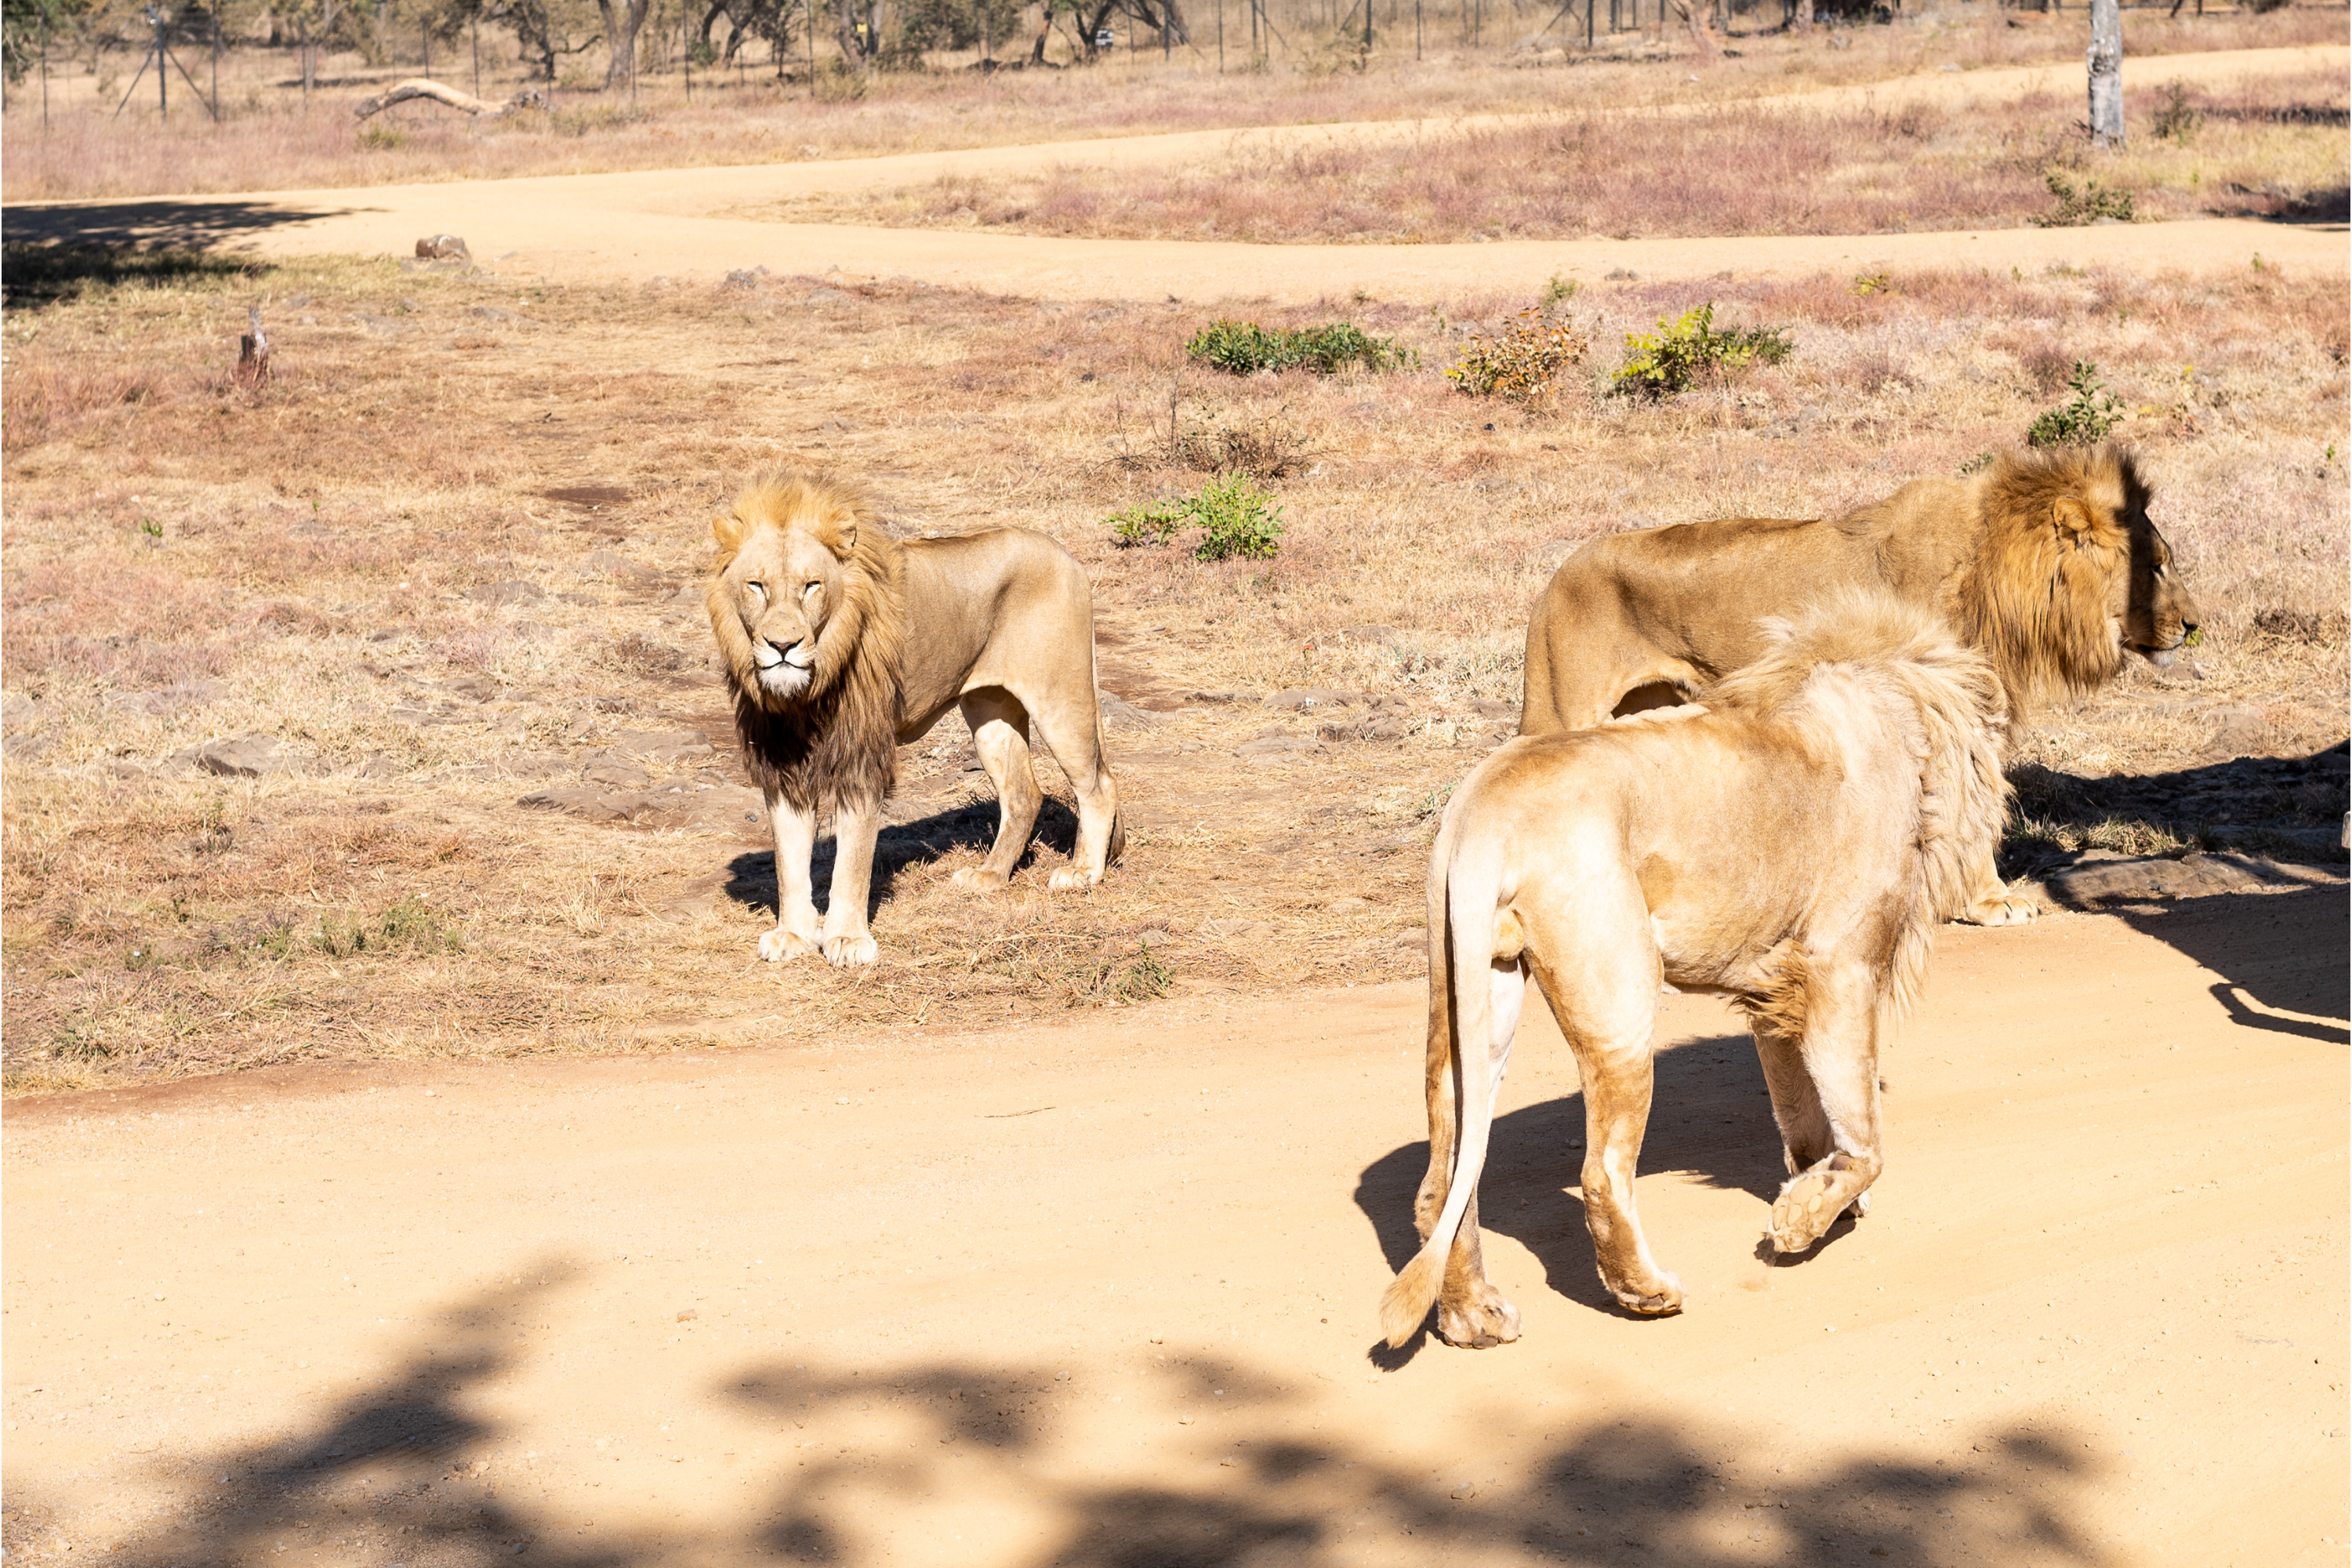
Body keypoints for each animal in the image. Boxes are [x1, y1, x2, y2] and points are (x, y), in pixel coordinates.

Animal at [705, 473, 1123, 968]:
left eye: (811, 586)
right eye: (756, 586)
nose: (782, 646)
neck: (805, 694)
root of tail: (1068, 557)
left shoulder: (862, 759)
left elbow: (852, 860)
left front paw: (847, 939)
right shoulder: (782, 760)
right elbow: (789, 860)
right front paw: (793, 933)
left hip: (1060, 699)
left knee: (1099, 784)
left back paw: (1083, 873)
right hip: (990, 714)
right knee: (1024, 793)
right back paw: (990, 876)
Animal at [1381, 591, 2010, 1350]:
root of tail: (1481, 813)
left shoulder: (1781, 990)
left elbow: (1805, 1117)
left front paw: (1816, 1200)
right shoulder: (1841, 967)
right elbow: (1866, 1137)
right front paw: (1801, 1222)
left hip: (1472, 998)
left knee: (1444, 1176)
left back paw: (1473, 1316)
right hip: (1619, 1002)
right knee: (1601, 1173)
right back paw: (1644, 1292)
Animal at [1518, 445, 2199, 925]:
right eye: (2155, 567)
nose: (2196, 625)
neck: (1999, 578)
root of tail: (1558, 572)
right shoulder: (1947, 705)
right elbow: (1968, 808)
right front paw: (1988, 900)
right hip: (1559, 706)